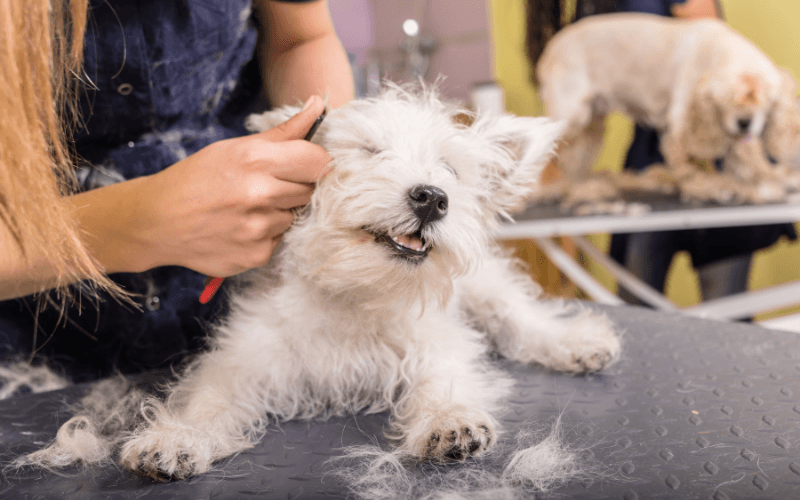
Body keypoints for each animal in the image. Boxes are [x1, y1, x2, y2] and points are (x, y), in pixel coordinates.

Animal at [17, 86, 620, 480]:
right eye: (371, 152)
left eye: (450, 168)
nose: (432, 197)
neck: (355, 293)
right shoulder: (242, 361)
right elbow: (208, 403)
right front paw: (174, 440)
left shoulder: (437, 345)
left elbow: (444, 384)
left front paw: (450, 426)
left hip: (485, 288)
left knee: (520, 317)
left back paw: (578, 343)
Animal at [536, 13, 800, 205]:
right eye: (727, 100)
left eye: (766, 102)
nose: (745, 123)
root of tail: (550, 48)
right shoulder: (682, 125)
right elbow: (687, 165)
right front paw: (708, 187)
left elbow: (741, 162)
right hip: (572, 115)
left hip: (592, 124)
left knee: (574, 161)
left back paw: (585, 187)